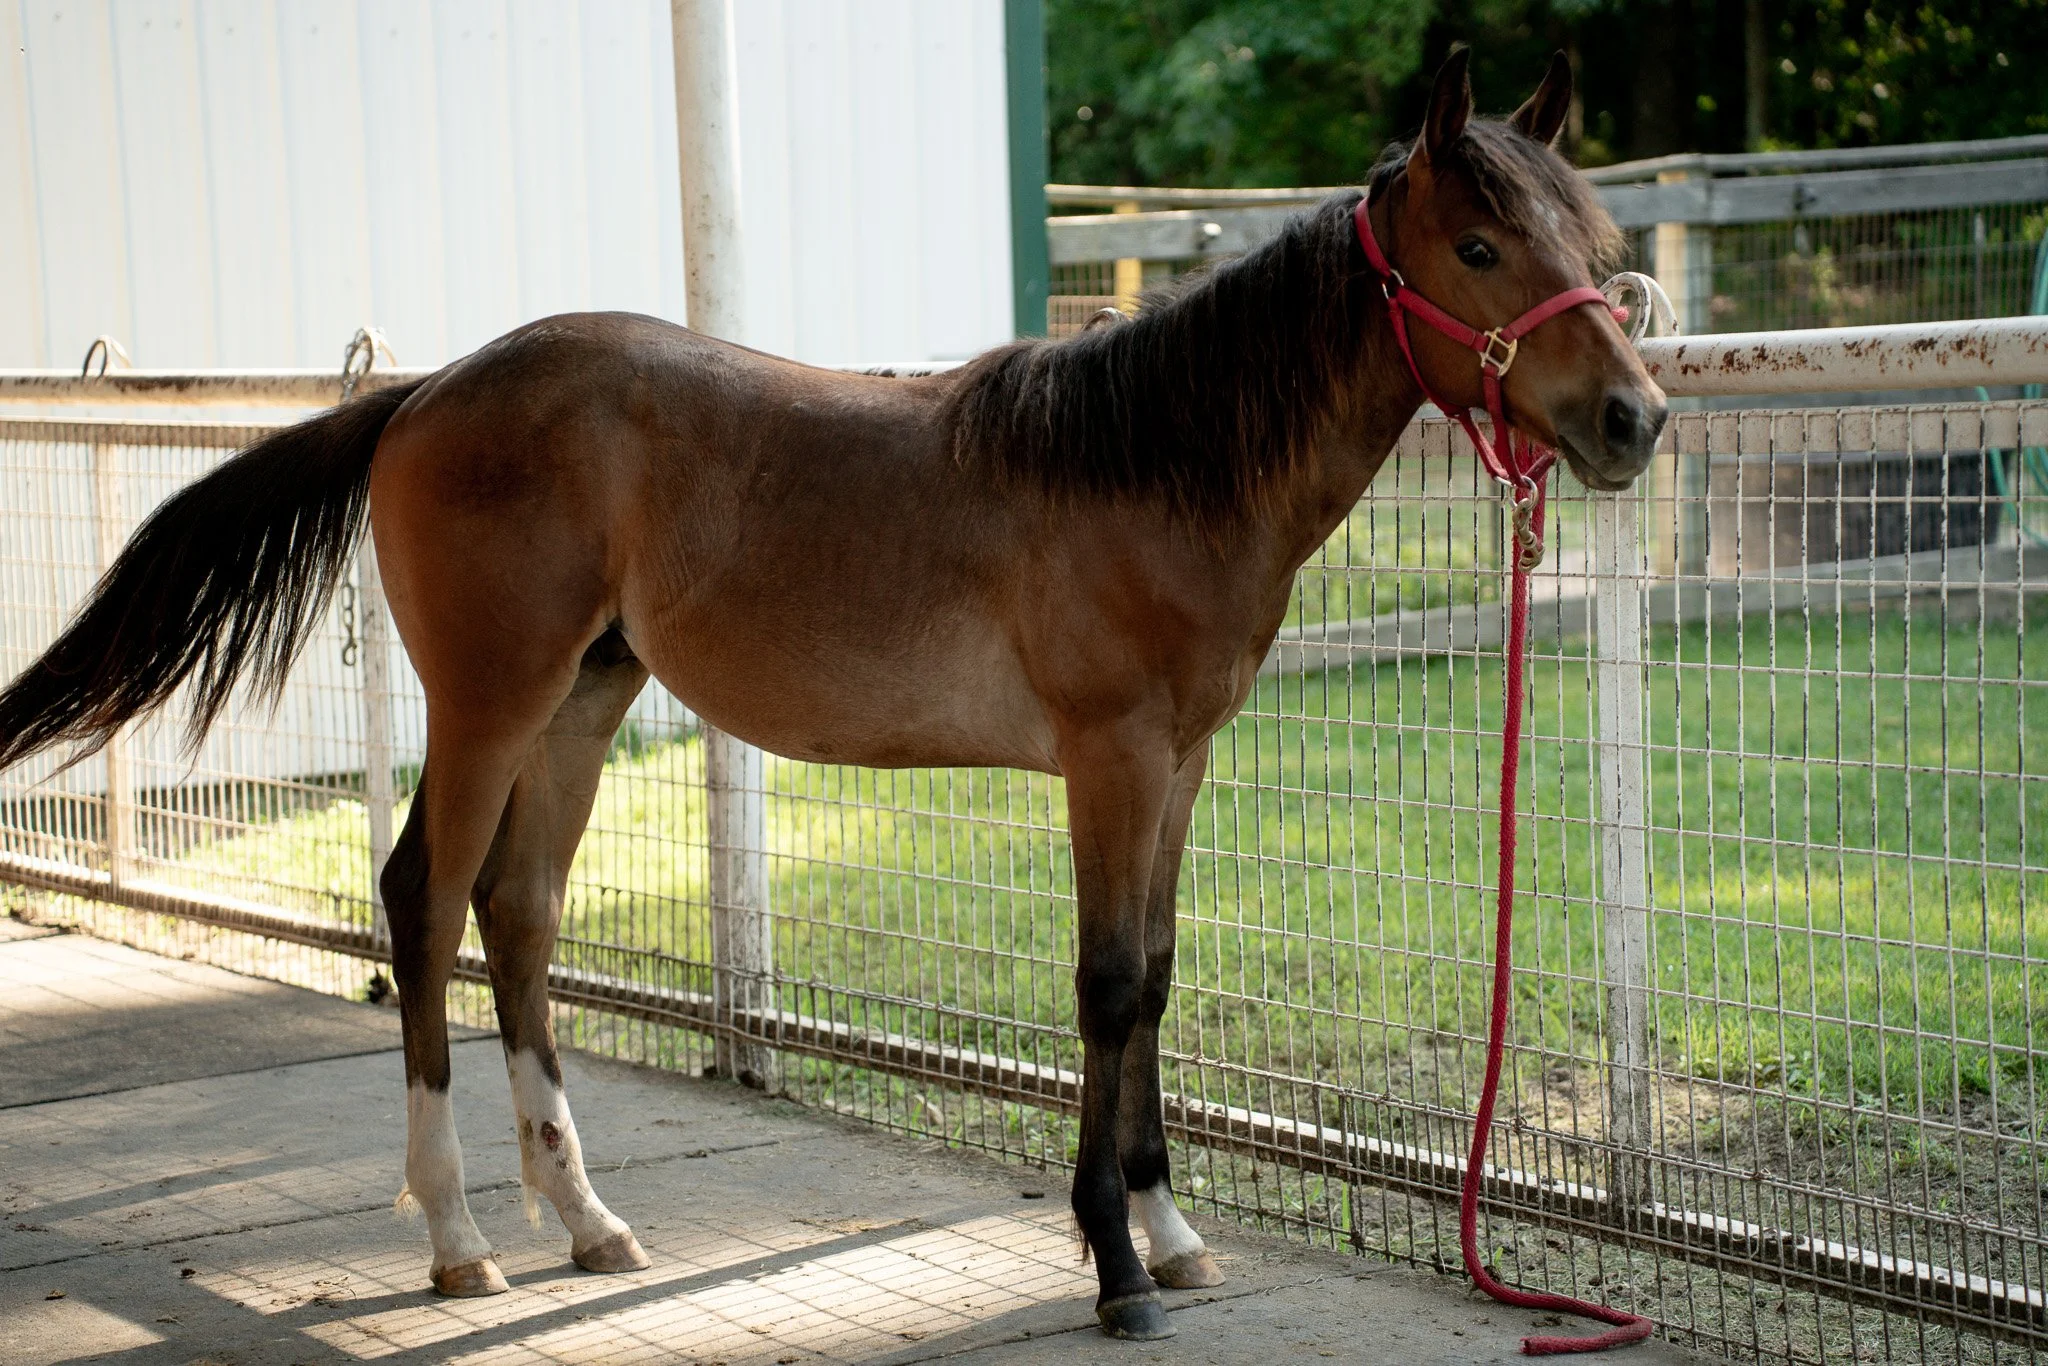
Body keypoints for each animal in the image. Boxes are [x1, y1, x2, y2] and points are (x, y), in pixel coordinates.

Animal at [0, 49, 1662, 1341]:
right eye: (1480, 248)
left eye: (1591, 237)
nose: (1634, 419)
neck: (1154, 462)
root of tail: (424, 395)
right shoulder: (1113, 759)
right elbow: (1106, 985)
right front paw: (1115, 1263)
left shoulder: (1184, 760)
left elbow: (1158, 977)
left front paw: (1174, 1234)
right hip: (489, 702)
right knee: (423, 897)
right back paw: (461, 1237)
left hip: (584, 703)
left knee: (518, 910)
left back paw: (583, 1216)